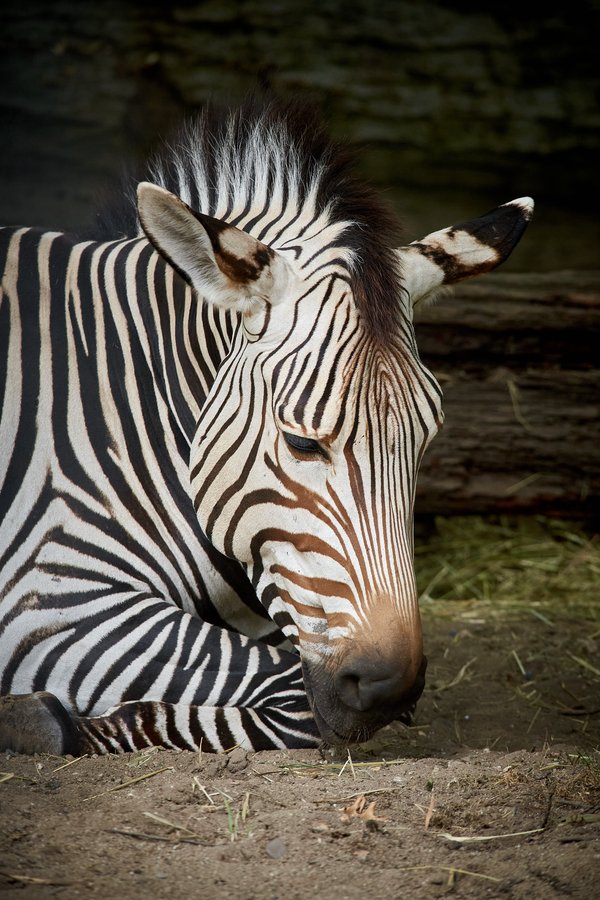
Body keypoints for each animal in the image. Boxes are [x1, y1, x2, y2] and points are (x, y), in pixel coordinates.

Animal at [0, 100, 533, 755]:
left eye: (423, 441)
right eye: (302, 442)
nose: (390, 689)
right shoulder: (49, 590)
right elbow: (295, 699)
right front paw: (37, 720)